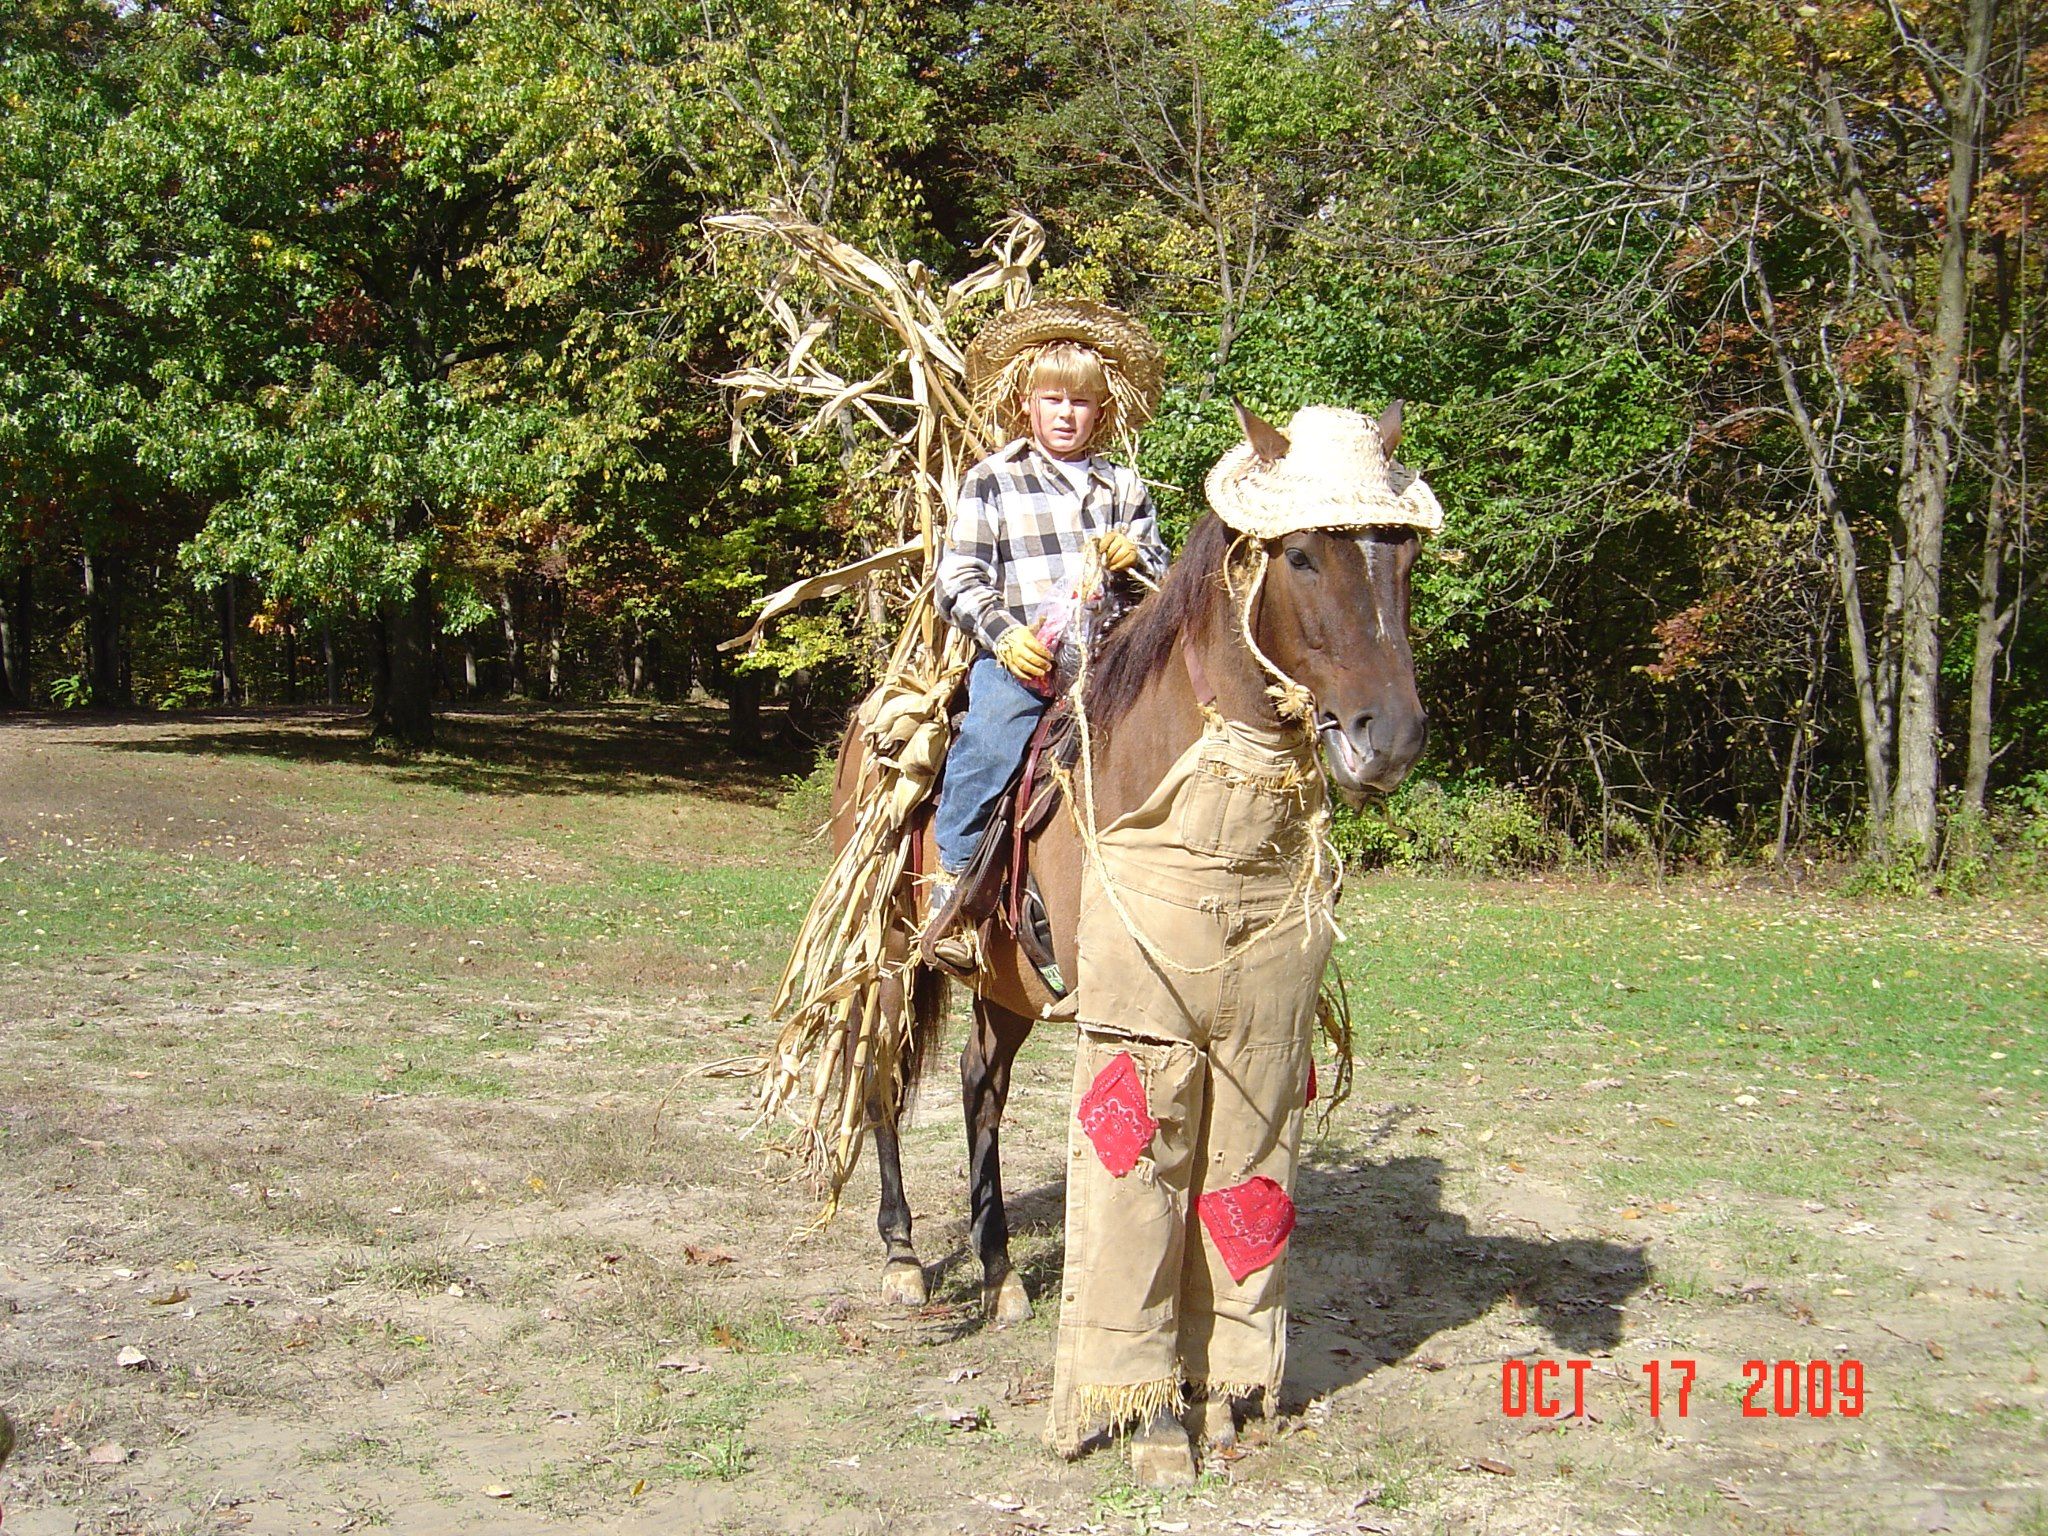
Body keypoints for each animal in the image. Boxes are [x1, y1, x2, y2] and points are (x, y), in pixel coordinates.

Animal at [823, 405, 1433, 1335]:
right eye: (1300, 555)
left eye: (1405, 558)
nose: (1390, 736)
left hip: (1007, 980)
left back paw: (999, 1272)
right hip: (887, 953)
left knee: (979, 1084)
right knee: (884, 1078)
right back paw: (903, 1257)